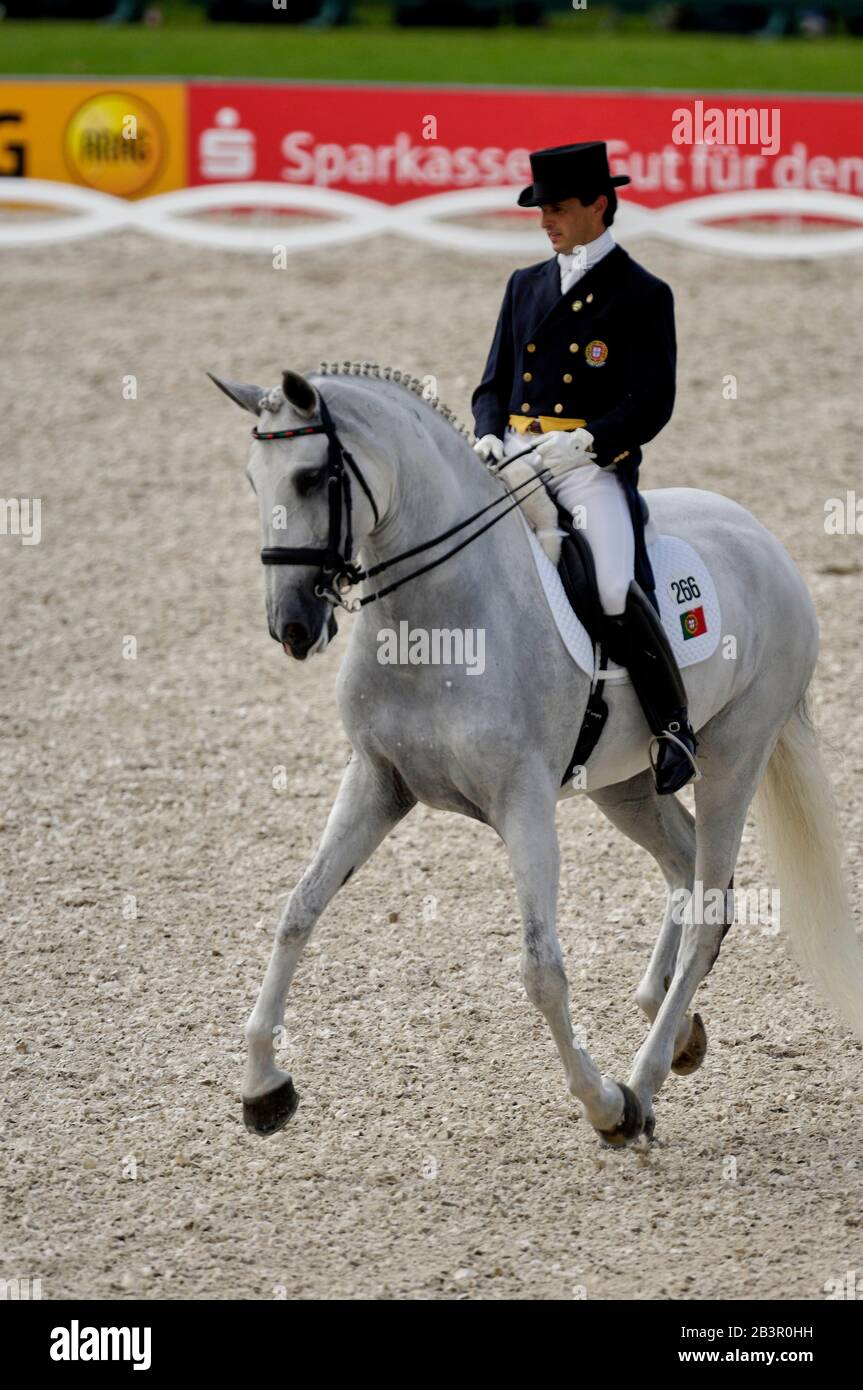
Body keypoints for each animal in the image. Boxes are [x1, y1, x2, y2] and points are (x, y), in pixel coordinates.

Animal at [207, 364, 861, 1145]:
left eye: (311, 478)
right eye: (252, 479)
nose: (292, 627)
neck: (436, 623)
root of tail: (767, 543)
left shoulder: (522, 803)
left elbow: (541, 970)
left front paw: (602, 1104)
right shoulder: (377, 781)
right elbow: (298, 911)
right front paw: (262, 1086)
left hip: (735, 755)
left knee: (709, 907)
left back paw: (640, 1086)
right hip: (625, 784)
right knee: (683, 866)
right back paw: (675, 1032)